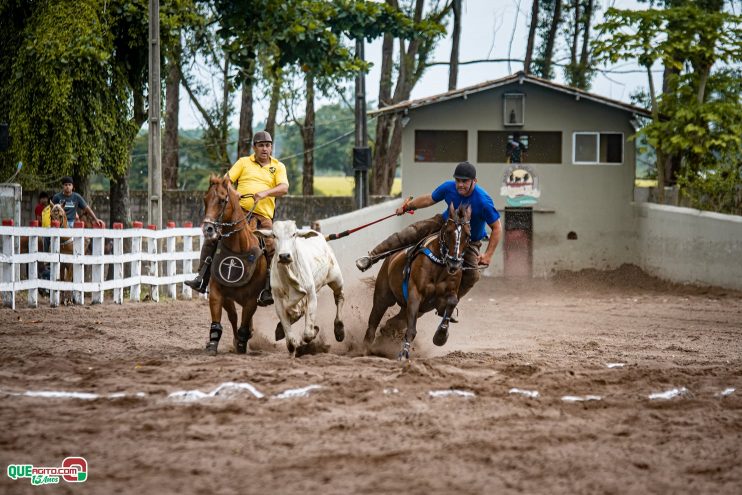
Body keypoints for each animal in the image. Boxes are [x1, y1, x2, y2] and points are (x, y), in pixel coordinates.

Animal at [199, 176, 268, 354]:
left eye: (222, 200)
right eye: (205, 199)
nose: (208, 229)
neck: (238, 248)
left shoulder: (252, 298)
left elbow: (245, 322)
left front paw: (242, 345)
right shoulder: (218, 292)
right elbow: (223, 320)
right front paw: (212, 345)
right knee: (234, 317)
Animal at [258, 222, 346, 356]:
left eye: (294, 234)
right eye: (274, 235)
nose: (284, 256)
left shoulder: (311, 295)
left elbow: (308, 334)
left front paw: (314, 330)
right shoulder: (278, 301)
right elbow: (290, 340)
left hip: (336, 278)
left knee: (339, 297)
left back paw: (339, 329)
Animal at [364, 203, 470, 362]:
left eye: (468, 235)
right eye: (449, 232)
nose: (454, 264)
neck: (439, 265)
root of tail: (390, 257)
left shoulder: (448, 293)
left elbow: (452, 301)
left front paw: (441, 336)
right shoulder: (415, 294)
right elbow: (411, 329)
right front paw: (403, 354)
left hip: (411, 309)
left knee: (391, 323)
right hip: (383, 297)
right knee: (373, 322)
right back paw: (365, 348)